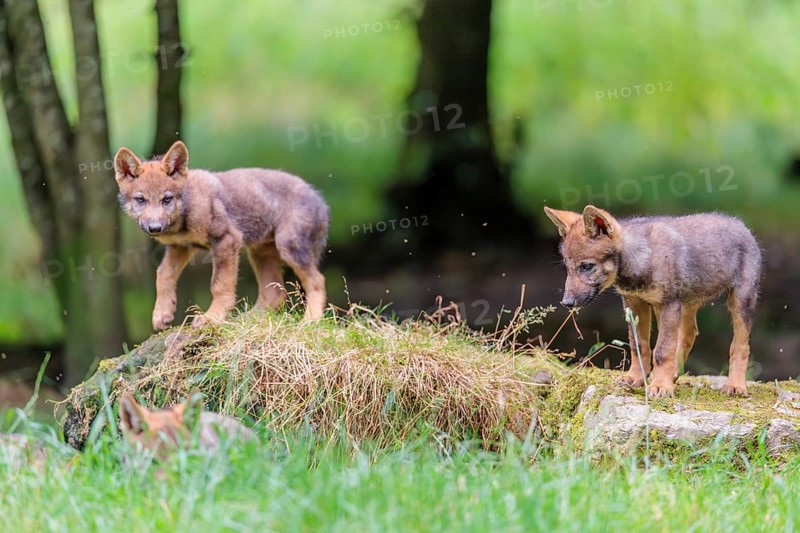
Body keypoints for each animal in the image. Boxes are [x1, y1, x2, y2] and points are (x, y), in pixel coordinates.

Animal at [114, 141, 328, 330]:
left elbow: (219, 285)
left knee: (316, 281)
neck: (185, 213)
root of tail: (321, 201)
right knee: (274, 292)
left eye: (166, 199)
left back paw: (311, 320)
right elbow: (163, 274)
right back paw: (248, 320)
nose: (155, 228)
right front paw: (162, 314)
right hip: (260, 252)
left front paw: (212, 318)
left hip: (287, 245)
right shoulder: (180, 247)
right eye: (140, 200)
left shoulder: (226, 240)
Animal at [544, 205, 761, 397]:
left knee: (740, 345)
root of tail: (741, 225)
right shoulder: (635, 305)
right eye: (567, 268)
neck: (641, 259)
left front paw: (660, 386)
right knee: (689, 334)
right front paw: (636, 378)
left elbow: (662, 350)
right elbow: (639, 346)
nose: (566, 302)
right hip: (687, 303)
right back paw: (674, 374)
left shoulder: (667, 306)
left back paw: (735, 386)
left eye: (587, 266)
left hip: (740, 301)